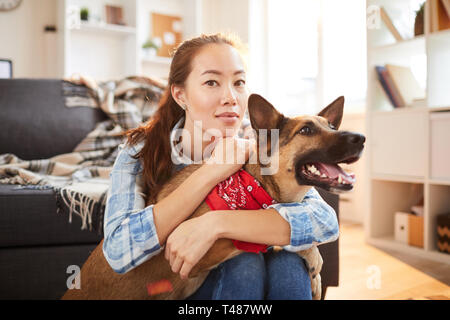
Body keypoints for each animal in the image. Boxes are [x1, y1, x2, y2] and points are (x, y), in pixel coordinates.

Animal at [62, 92, 366, 300]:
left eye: (333, 127)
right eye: (306, 130)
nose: (361, 138)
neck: (254, 184)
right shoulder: (204, 253)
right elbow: (257, 243)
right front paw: (312, 261)